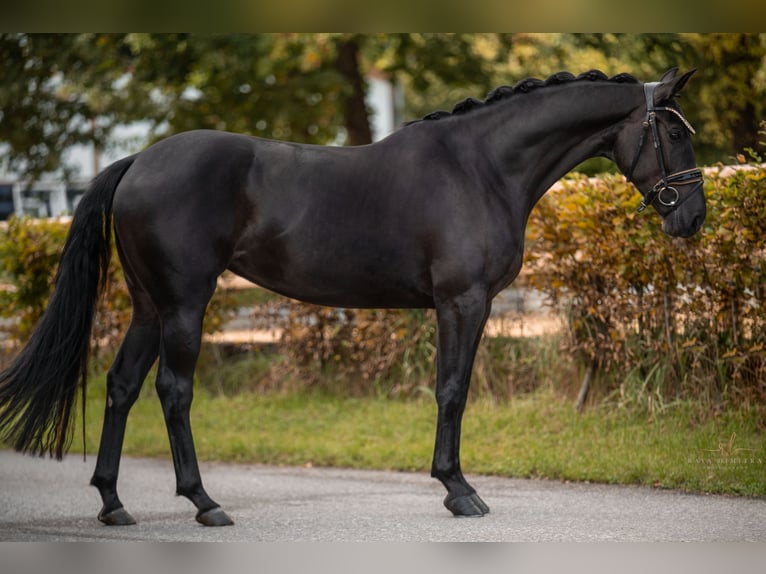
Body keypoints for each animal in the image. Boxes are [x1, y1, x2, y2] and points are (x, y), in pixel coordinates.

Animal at [1, 67, 708, 528]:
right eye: (674, 135)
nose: (693, 217)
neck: (481, 167)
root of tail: (139, 160)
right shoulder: (463, 302)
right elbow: (453, 390)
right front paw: (458, 491)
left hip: (149, 306)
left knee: (121, 386)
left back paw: (113, 503)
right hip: (183, 305)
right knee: (173, 391)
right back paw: (205, 503)